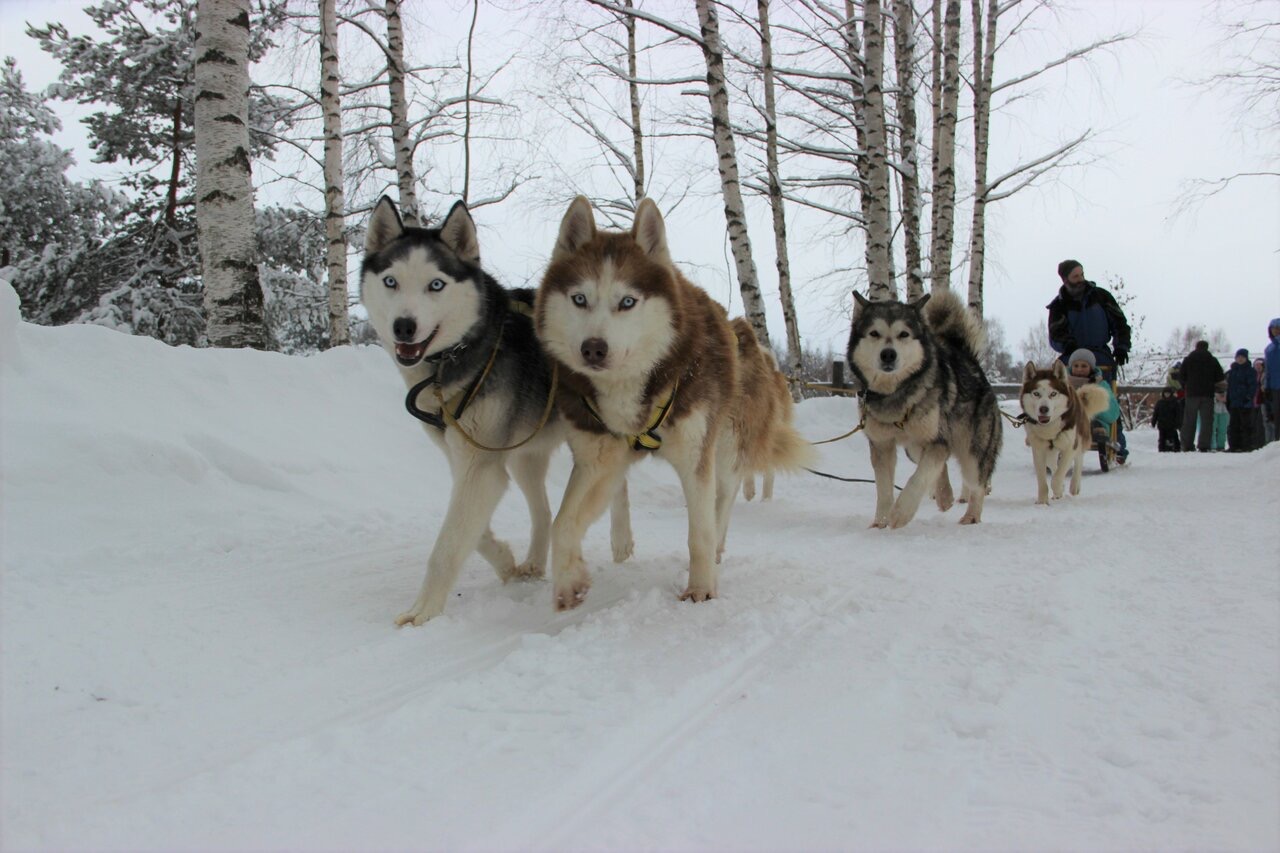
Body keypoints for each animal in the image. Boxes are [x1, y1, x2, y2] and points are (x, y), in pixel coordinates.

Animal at [360, 197, 634, 625]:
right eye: (391, 281)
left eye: (436, 284)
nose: (404, 326)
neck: (459, 354)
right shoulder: (469, 460)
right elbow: (473, 532)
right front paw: (504, 562)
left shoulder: (479, 466)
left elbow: (448, 544)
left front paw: (424, 611)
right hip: (525, 454)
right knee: (543, 510)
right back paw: (534, 563)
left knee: (614, 481)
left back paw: (620, 540)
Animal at [537, 195, 808, 607]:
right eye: (579, 299)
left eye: (627, 301)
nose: (593, 349)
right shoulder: (597, 457)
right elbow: (562, 523)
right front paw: (570, 582)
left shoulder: (697, 456)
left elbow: (700, 531)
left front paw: (701, 588)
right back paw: (621, 540)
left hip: (727, 448)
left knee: (724, 499)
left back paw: (716, 548)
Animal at [844, 290, 1003, 525]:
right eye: (874, 333)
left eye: (903, 334)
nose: (888, 354)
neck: (896, 395)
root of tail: (969, 360)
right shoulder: (882, 445)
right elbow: (884, 490)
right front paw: (880, 523)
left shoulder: (937, 439)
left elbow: (918, 478)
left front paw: (901, 513)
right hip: (914, 448)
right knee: (939, 465)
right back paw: (945, 496)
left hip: (973, 452)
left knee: (977, 484)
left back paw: (971, 516)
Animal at [1018, 356, 1111, 502]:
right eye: (1036, 393)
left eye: (1053, 393)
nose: (1043, 409)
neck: (1050, 426)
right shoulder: (1038, 449)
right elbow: (1043, 480)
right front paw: (1042, 501)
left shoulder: (1070, 446)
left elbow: (1057, 477)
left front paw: (1058, 489)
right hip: (1051, 450)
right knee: (1053, 463)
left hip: (1081, 438)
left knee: (1079, 459)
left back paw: (1074, 486)